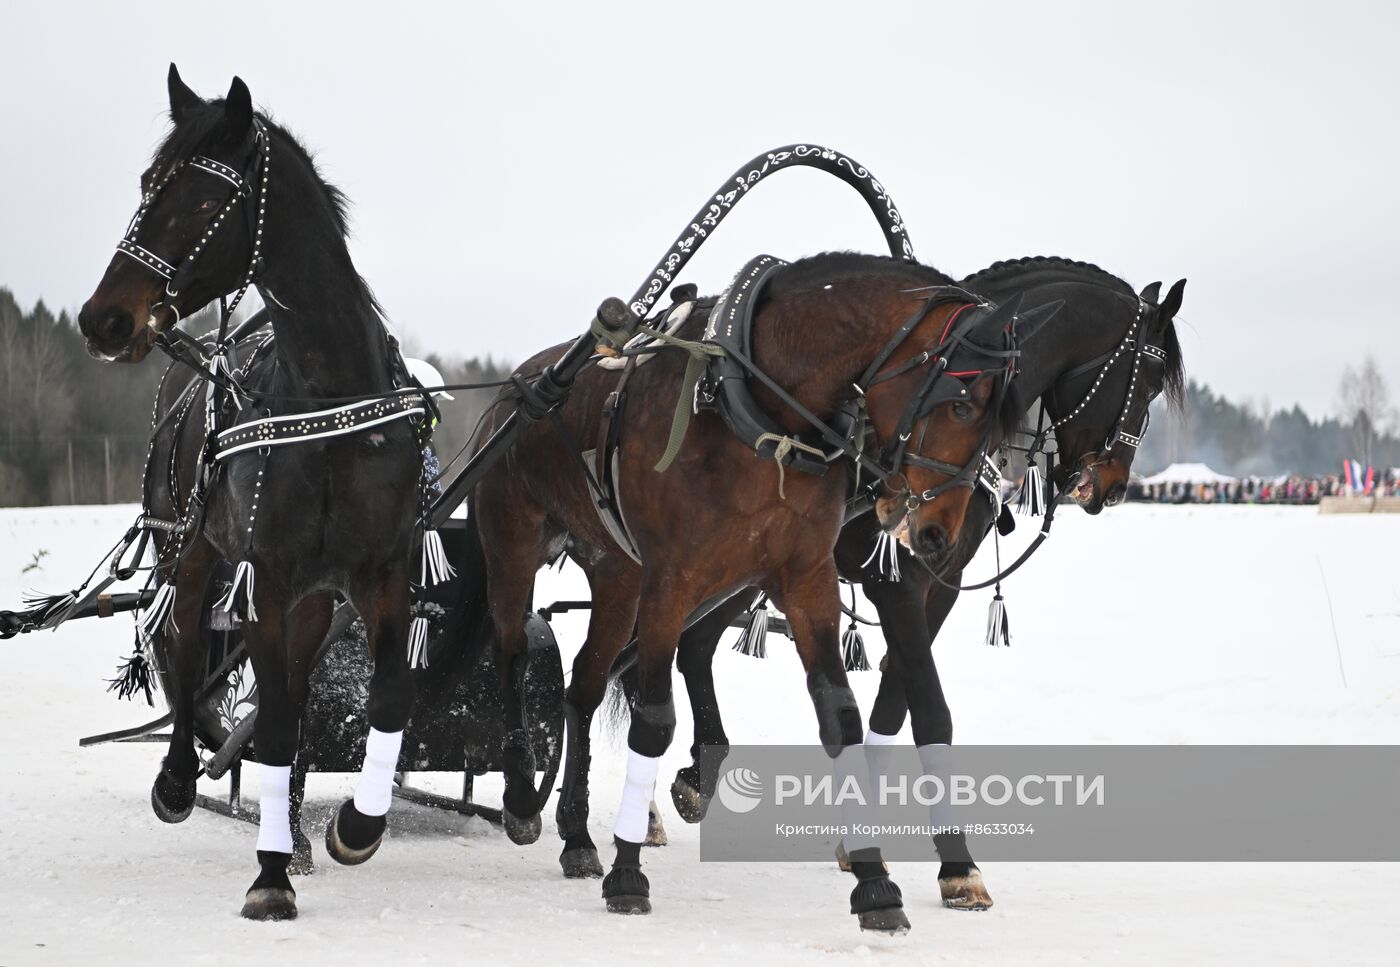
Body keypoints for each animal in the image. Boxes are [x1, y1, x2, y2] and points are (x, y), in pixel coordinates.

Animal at [75, 69, 422, 923]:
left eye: (206, 201)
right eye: (147, 185)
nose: (106, 318)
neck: (331, 398)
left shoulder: (378, 572)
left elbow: (387, 695)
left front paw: (357, 824)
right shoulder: (267, 577)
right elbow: (273, 721)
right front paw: (270, 872)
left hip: (311, 596)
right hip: (193, 547)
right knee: (184, 642)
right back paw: (178, 779)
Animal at [470, 253, 1041, 934]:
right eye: (961, 406)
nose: (935, 534)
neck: (757, 409)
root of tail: (517, 386)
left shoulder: (805, 576)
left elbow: (840, 716)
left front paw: (876, 883)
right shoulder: (671, 581)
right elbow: (654, 720)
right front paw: (629, 874)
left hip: (617, 576)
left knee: (582, 684)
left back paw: (578, 834)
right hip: (515, 548)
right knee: (510, 653)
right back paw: (521, 796)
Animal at [624, 257, 1181, 906]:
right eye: (1148, 380)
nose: (1112, 486)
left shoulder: (941, 581)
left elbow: (894, 704)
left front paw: (860, 837)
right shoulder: (897, 583)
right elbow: (931, 710)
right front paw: (958, 864)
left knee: (688, 648)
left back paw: (693, 780)